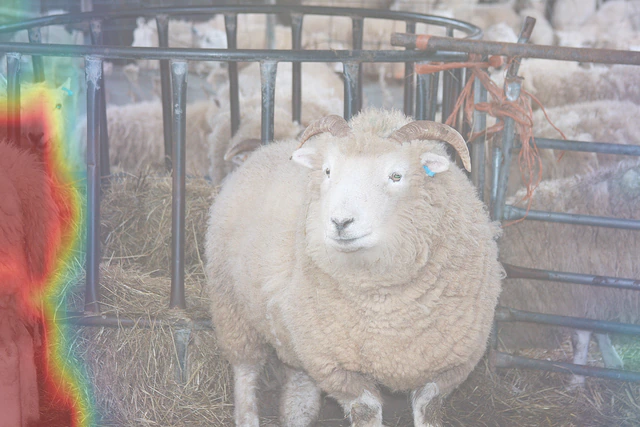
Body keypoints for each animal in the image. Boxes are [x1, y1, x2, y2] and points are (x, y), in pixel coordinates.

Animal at [205, 108, 504, 426]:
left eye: (396, 175)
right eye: (327, 171)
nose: (340, 222)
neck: (385, 305)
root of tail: (267, 147)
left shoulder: (449, 367)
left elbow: (428, 409)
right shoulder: (335, 365)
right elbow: (366, 410)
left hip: (296, 338)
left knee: (299, 389)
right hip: (232, 307)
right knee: (245, 369)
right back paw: (247, 414)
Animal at [498, 157, 640, 387]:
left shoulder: (579, 288)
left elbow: (582, 337)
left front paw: (577, 380)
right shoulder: (595, 290)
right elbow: (599, 328)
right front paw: (611, 361)